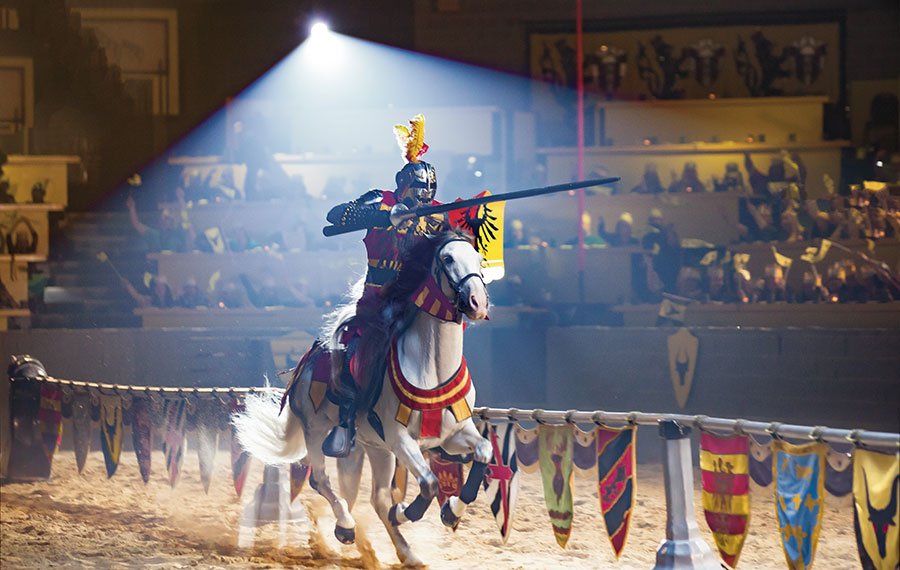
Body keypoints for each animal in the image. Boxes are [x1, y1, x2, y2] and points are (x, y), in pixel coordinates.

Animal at [234, 229, 492, 560]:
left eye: (479, 259)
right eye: (447, 258)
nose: (477, 302)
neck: (431, 368)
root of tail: (306, 362)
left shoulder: (453, 434)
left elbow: (484, 451)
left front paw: (451, 511)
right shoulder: (400, 439)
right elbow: (429, 483)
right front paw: (406, 512)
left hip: (373, 449)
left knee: (375, 499)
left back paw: (405, 554)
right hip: (317, 430)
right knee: (322, 479)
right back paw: (345, 527)